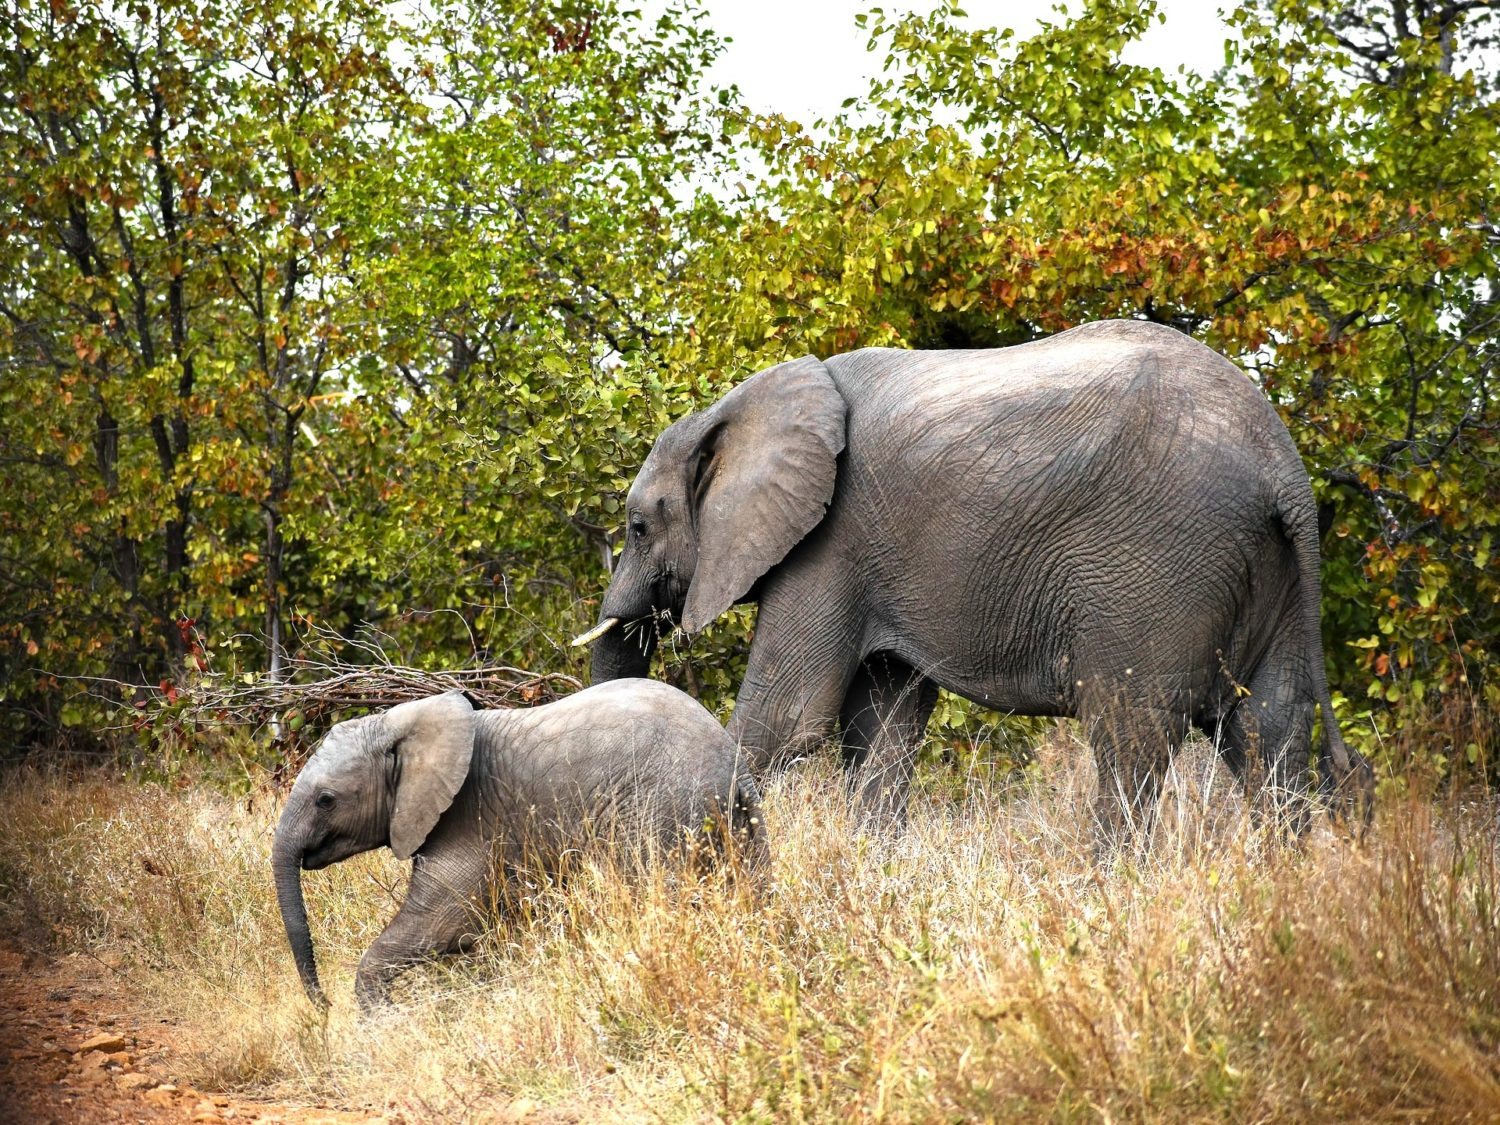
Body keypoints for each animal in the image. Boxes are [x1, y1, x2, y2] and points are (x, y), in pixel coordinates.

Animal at [272, 680, 765, 1009]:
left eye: (326, 800)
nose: (325, 1007)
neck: (403, 723)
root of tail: (734, 766)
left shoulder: (465, 819)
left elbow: (445, 922)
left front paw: (382, 1021)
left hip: (661, 810)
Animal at [582, 319, 1374, 842]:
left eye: (638, 528)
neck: (735, 408)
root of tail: (1283, 464)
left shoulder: (829, 546)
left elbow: (788, 717)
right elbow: (884, 728)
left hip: (1161, 567)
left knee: (1130, 736)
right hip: (1272, 573)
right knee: (1268, 735)